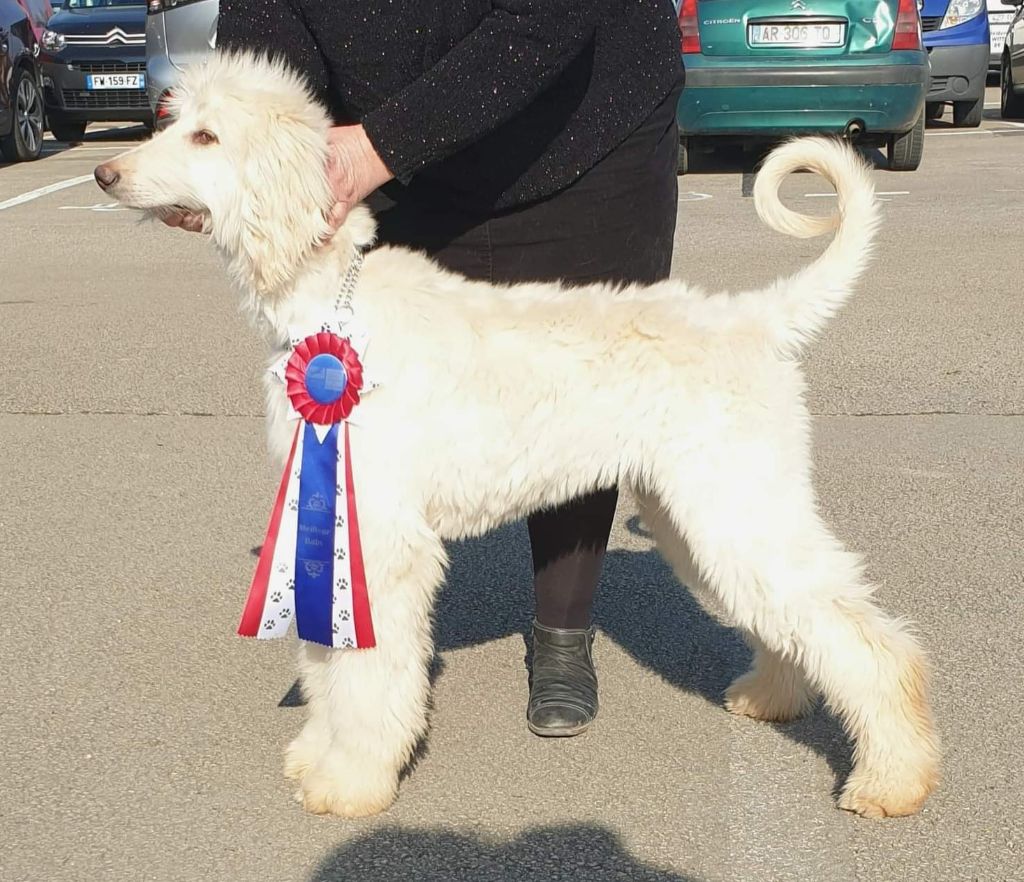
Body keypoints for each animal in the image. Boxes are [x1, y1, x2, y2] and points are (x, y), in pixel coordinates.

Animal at [97, 48, 942, 819]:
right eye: (171, 120)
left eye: (206, 136)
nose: (105, 173)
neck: (330, 303)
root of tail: (756, 317)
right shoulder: (330, 524)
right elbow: (329, 669)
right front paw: (316, 756)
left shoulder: (381, 536)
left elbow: (367, 681)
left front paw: (350, 783)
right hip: (700, 515)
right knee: (790, 623)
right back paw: (772, 696)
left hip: (737, 504)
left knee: (873, 645)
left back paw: (892, 781)